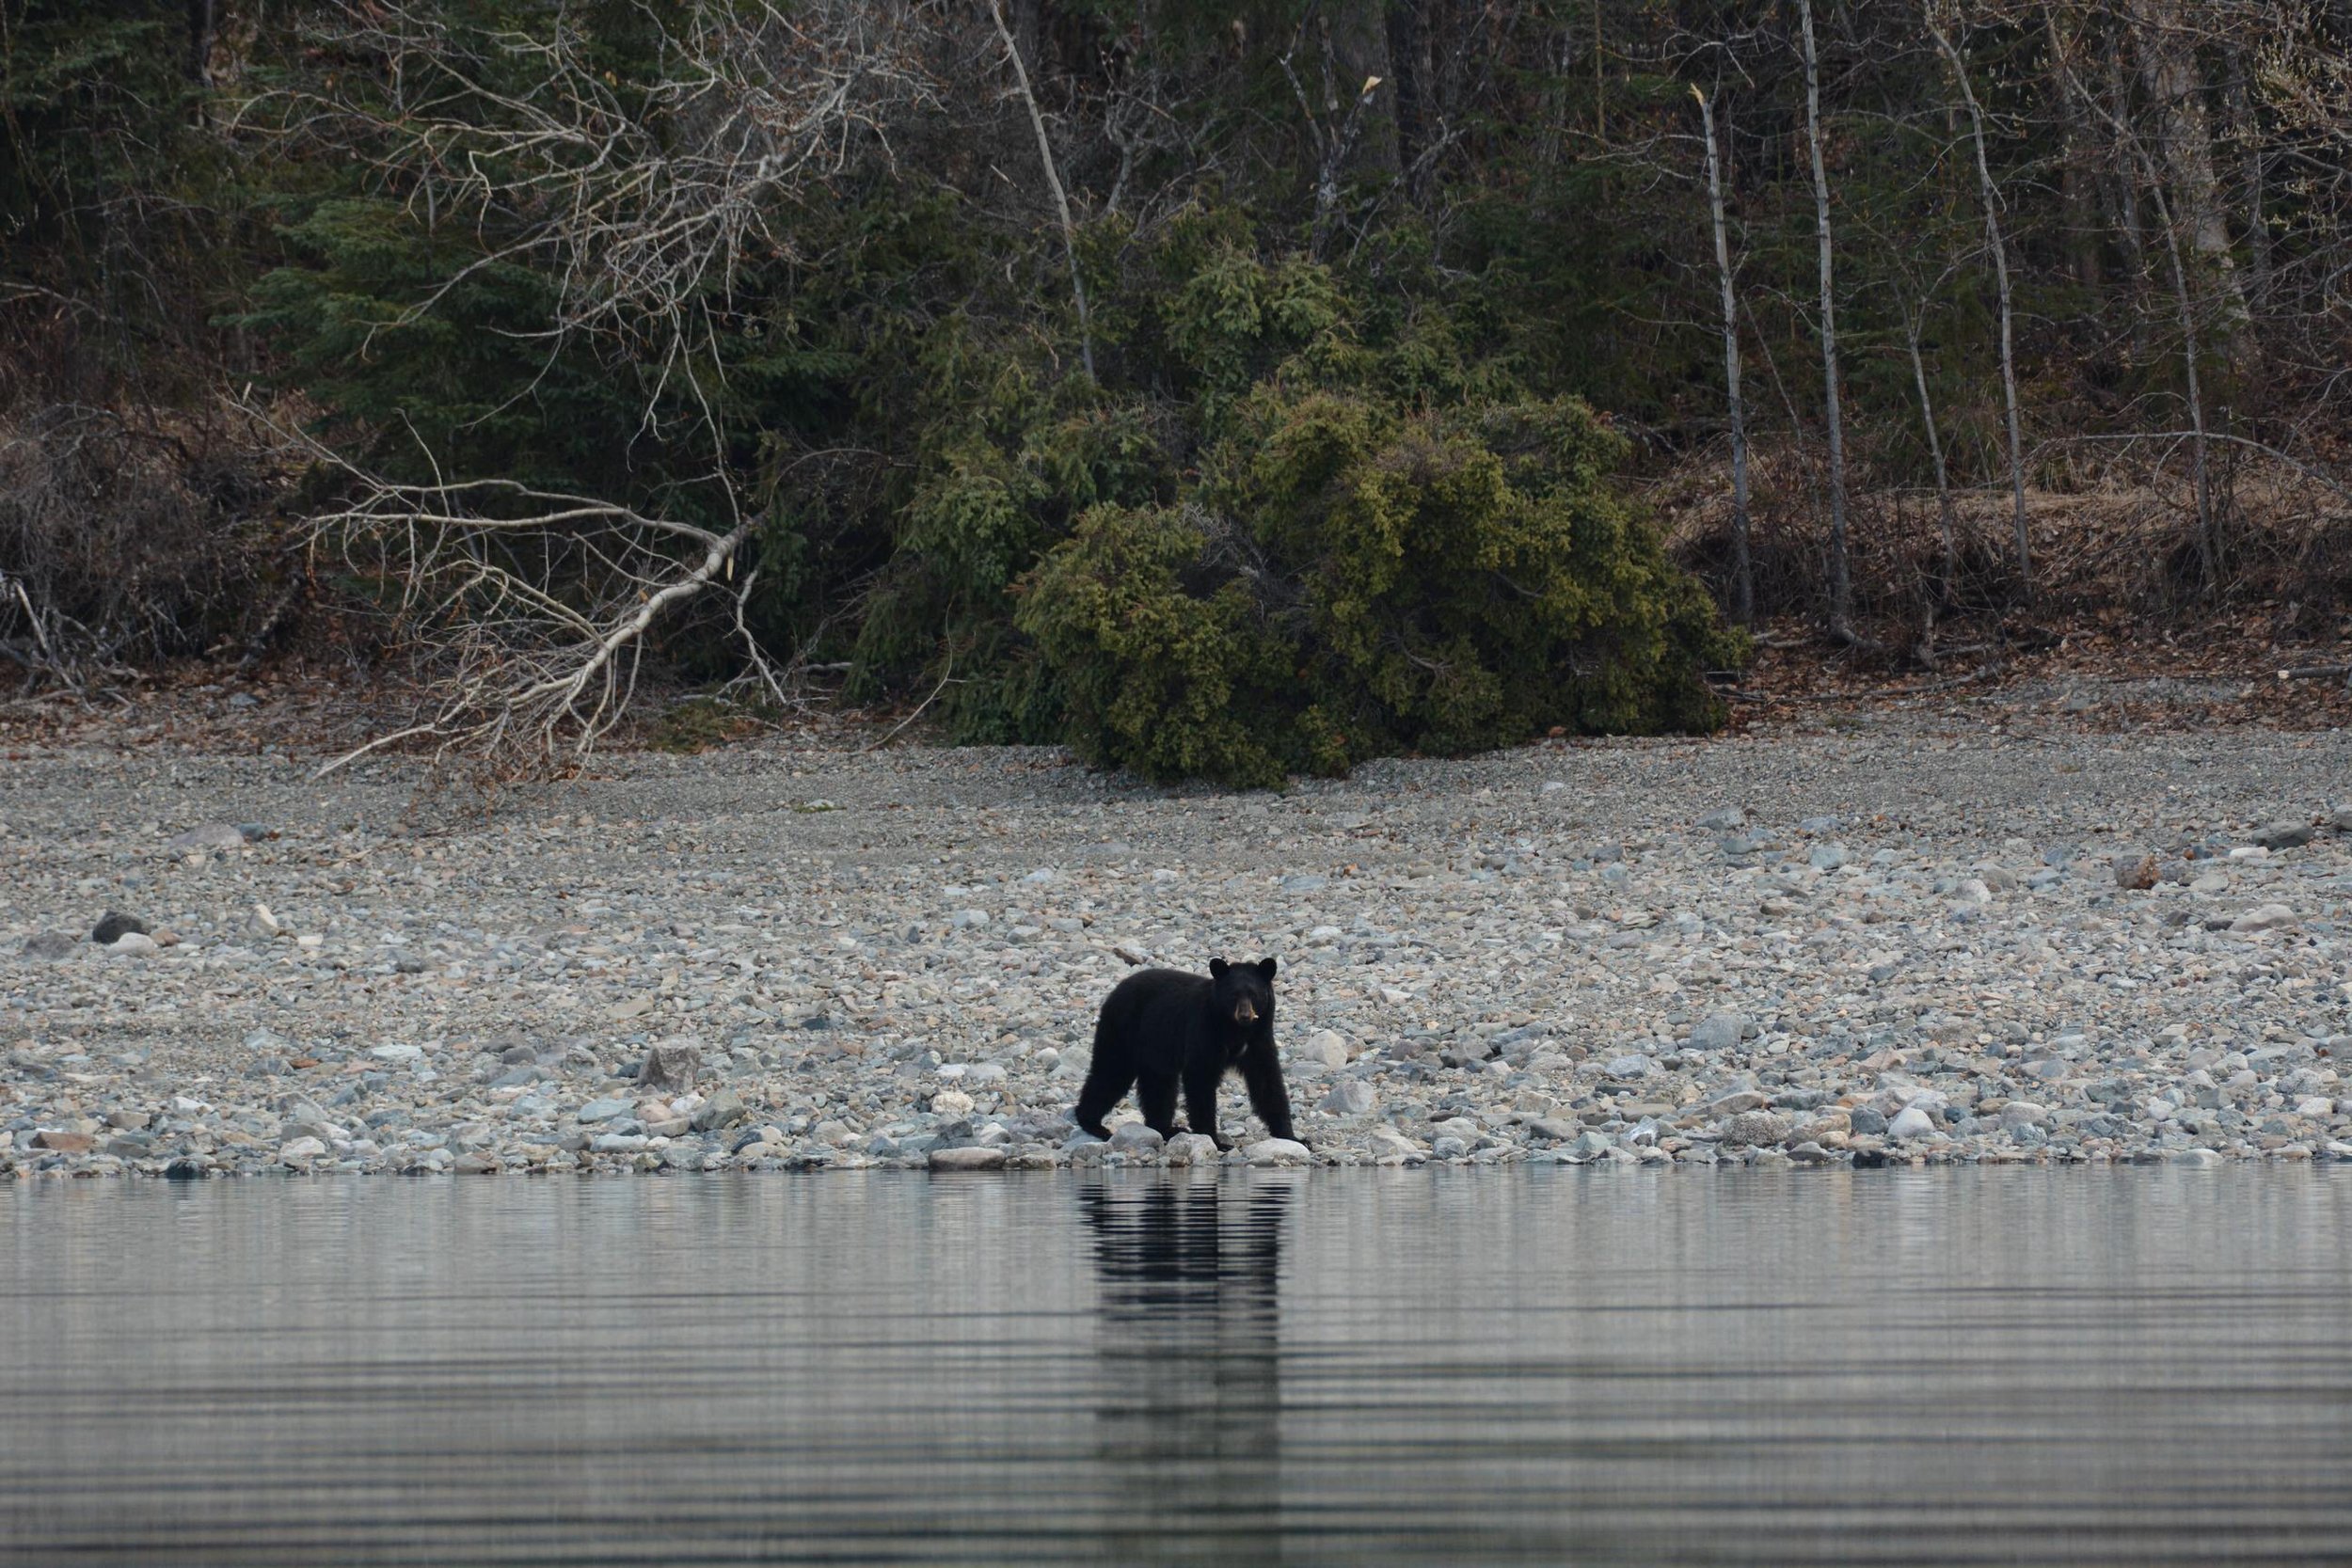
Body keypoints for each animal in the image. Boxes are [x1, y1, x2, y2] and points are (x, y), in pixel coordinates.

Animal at [1072, 957, 1297, 1149]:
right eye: (1233, 995)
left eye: (1254, 994)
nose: (1245, 1015)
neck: (1236, 1030)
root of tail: (1116, 990)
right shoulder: (1203, 1029)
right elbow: (1200, 1079)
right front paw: (1215, 1140)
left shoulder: (1259, 1040)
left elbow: (1268, 1082)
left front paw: (1291, 1137)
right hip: (1124, 1030)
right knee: (1111, 1072)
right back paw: (1093, 1124)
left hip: (1155, 1047)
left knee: (1159, 1086)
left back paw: (1166, 1129)